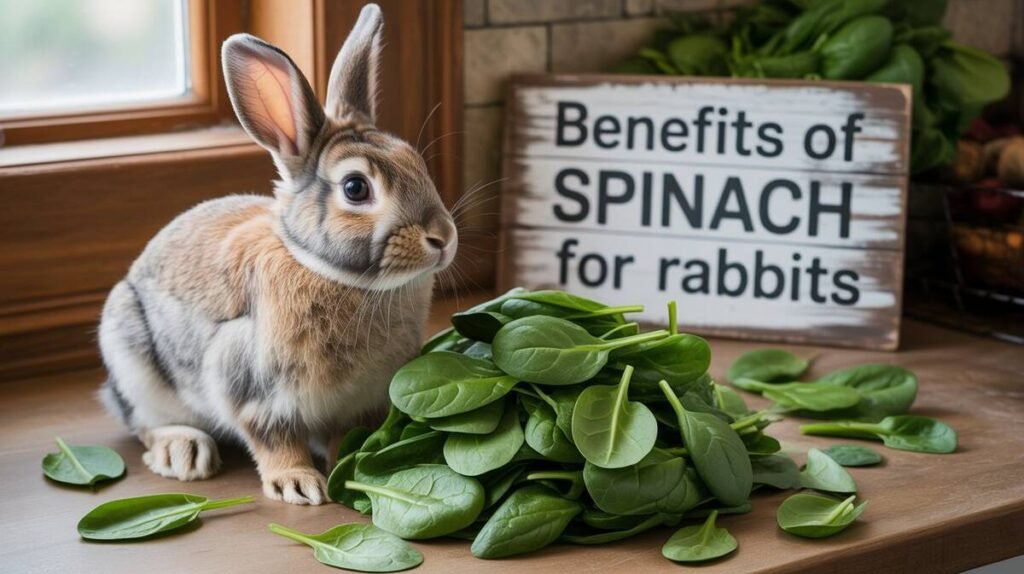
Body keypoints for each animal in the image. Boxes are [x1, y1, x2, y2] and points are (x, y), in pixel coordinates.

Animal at [96, 4, 457, 505]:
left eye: (416, 163)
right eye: (355, 188)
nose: (443, 237)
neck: (333, 274)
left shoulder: (356, 403)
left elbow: (342, 434)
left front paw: (346, 465)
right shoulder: (252, 388)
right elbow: (272, 439)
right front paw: (298, 484)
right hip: (130, 356)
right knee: (143, 423)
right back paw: (183, 452)